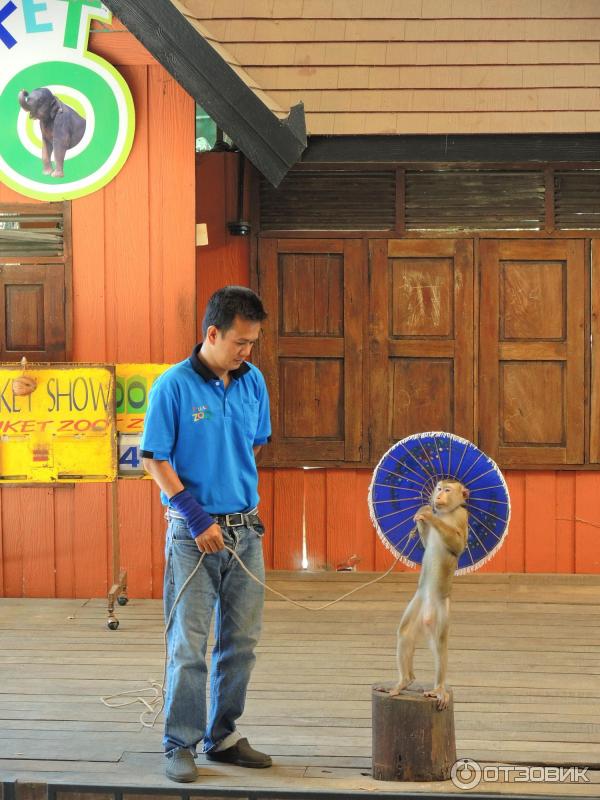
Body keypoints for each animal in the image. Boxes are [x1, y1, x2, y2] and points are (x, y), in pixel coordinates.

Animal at [390, 478, 468, 708]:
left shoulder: (462, 516)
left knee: (440, 643)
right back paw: (405, 680)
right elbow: (425, 544)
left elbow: (459, 545)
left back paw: (439, 688)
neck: (447, 513)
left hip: (441, 609)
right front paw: (423, 512)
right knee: (405, 632)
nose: (438, 496)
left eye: (448, 490)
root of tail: (427, 614)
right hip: (418, 602)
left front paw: (430, 516)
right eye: (439, 488)